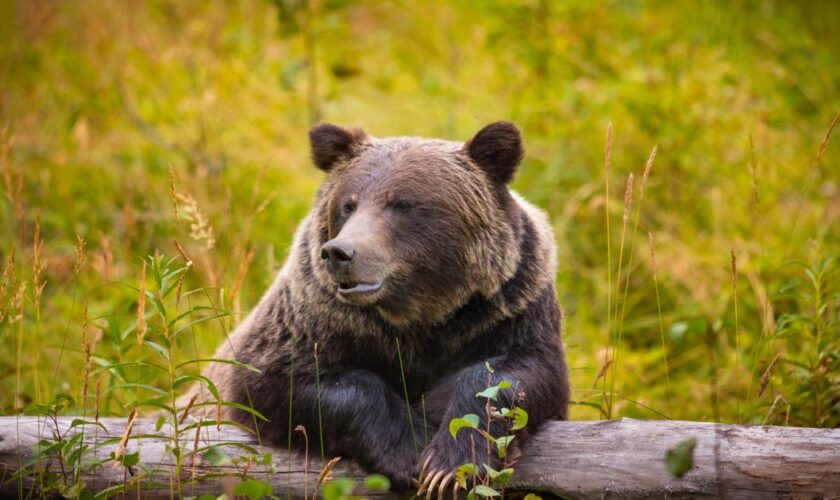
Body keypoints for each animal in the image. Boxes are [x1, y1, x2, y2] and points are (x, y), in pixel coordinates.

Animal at [191, 121, 572, 496]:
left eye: (402, 204)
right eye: (348, 205)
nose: (340, 253)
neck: (419, 315)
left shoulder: (509, 308)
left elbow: (518, 373)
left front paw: (449, 464)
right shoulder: (315, 319)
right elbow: (277, 379)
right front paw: (410, 449)